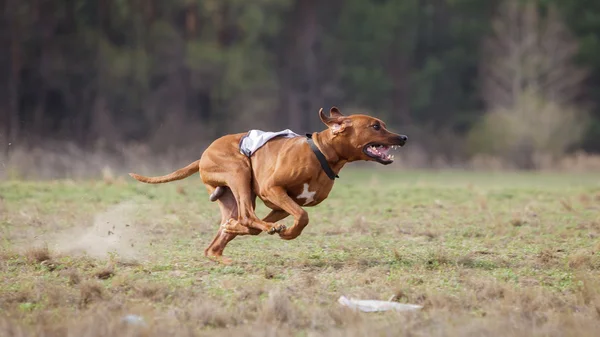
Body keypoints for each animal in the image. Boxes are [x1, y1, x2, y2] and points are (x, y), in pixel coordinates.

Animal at [128, 106, 406, 264]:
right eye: (375, 126)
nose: (403, 137)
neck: (323, 154)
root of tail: (202, 156)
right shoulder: (272, 189)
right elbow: (302, 217)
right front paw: (288, 233)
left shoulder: (281, 204)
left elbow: (281, 219)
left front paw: (279, 230)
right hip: (239, 171)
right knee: (247, 216)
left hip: (234, 195)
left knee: (231, 229)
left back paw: (225, 245)